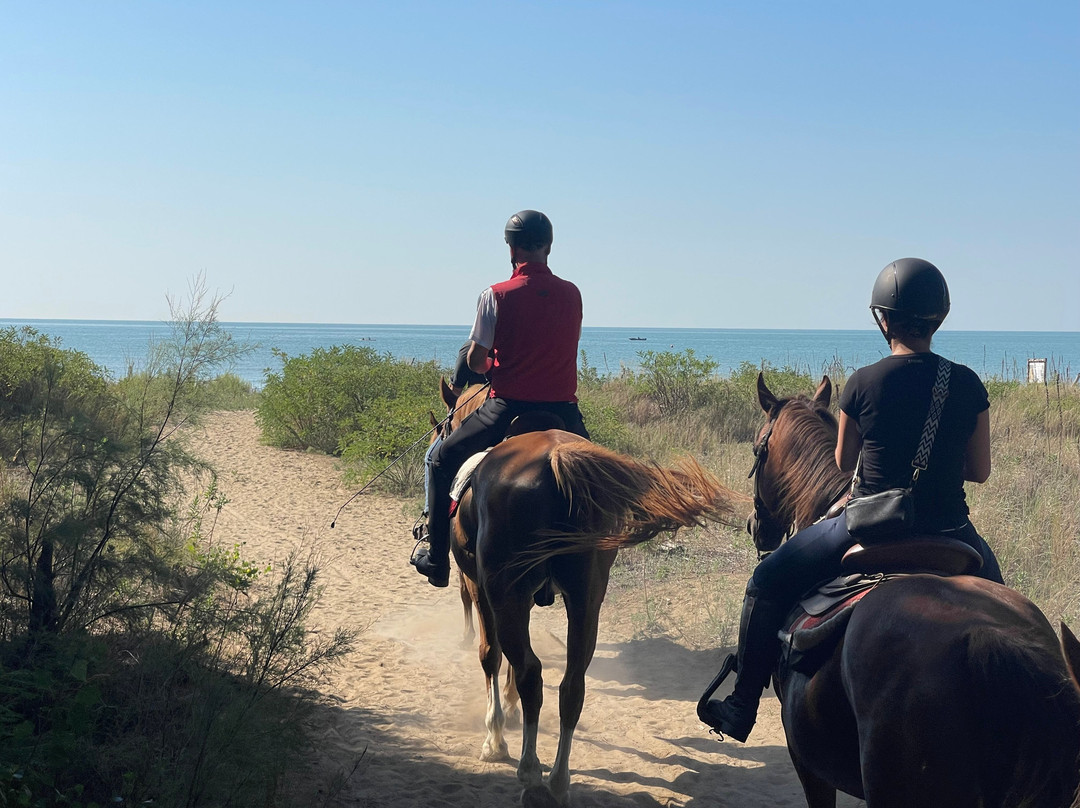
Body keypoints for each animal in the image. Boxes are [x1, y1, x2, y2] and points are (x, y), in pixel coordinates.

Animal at [430, 379, 737, 805]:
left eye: (444, 427)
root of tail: (556, 458)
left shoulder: (481, 587)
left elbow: (491, 655)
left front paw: (495, 737)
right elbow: (509, 662)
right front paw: (508, 709)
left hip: (508, 592)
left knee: (532, 673)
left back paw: (531, 775)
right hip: (585, 599)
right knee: (571, 685)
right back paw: (559, 781)